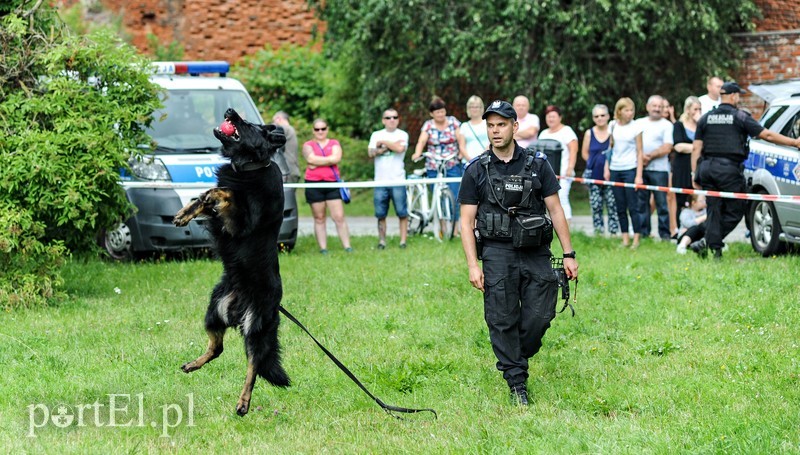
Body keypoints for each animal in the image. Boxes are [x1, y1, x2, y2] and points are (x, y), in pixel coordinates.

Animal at [172, 108, 288, 416]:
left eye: (246, 124)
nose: (229, 111)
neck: (249, 168)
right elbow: (208, 199)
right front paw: (185, 212)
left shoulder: (240, 222)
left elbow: (226, 192)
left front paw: (211, 195)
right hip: (213, 310)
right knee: (217, 348)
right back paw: (194, 364)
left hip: (255, 330)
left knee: (254, 367)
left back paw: (243, 402)